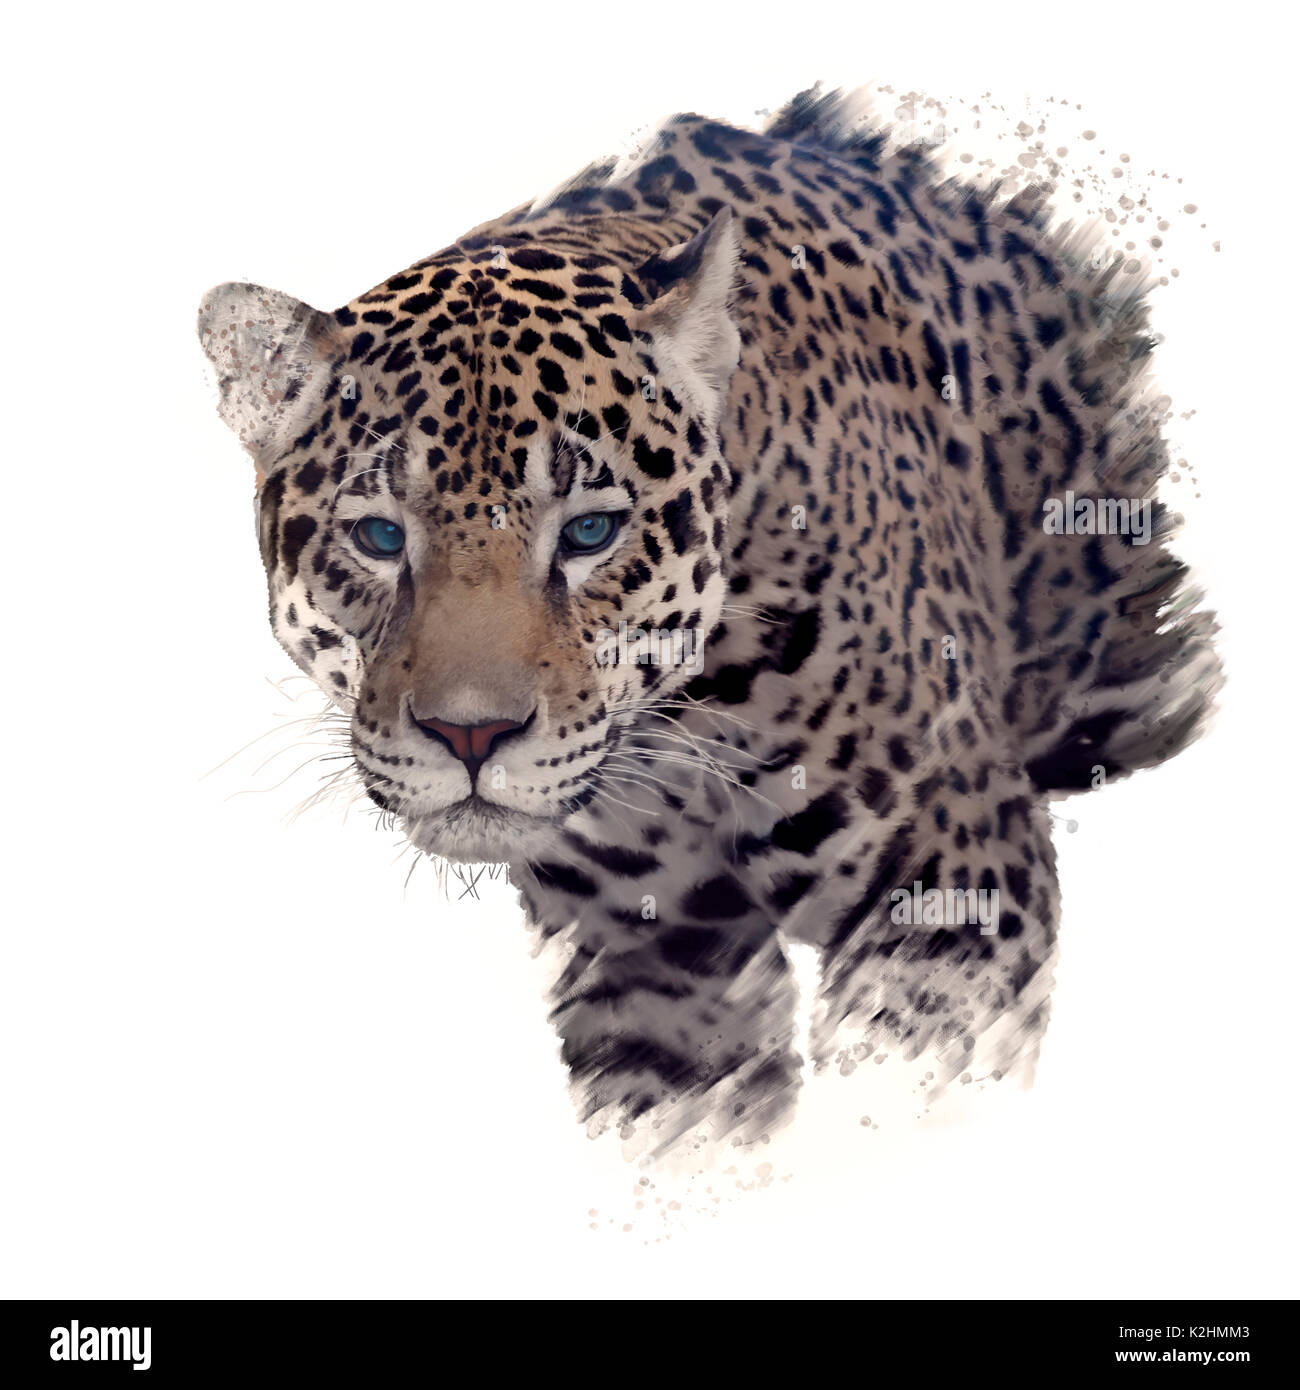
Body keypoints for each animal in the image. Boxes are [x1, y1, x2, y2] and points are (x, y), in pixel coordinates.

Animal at [198, 87, 1219, 1155]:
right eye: (380, 536)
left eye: (591, 531)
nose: (469, 735)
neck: (683, 723)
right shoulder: (656, 959)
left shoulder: (955, 885)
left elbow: (905, 1091)